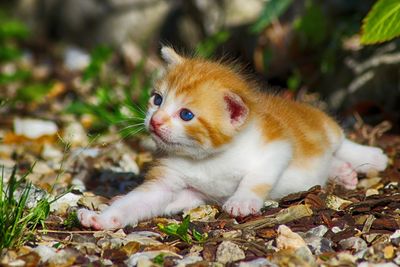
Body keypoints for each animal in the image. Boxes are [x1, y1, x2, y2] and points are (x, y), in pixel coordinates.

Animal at [77, 46, 388, 230]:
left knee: (341, 142)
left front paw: (242, 201)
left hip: (322, 125)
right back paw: (343, 172)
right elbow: (138, 201)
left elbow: (257, 176)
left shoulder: (276, 145)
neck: (209, 158)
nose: (154, 120)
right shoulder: (169, 181)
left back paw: (371, 158)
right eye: (157, 99)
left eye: (186, 115)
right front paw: (104, 218)